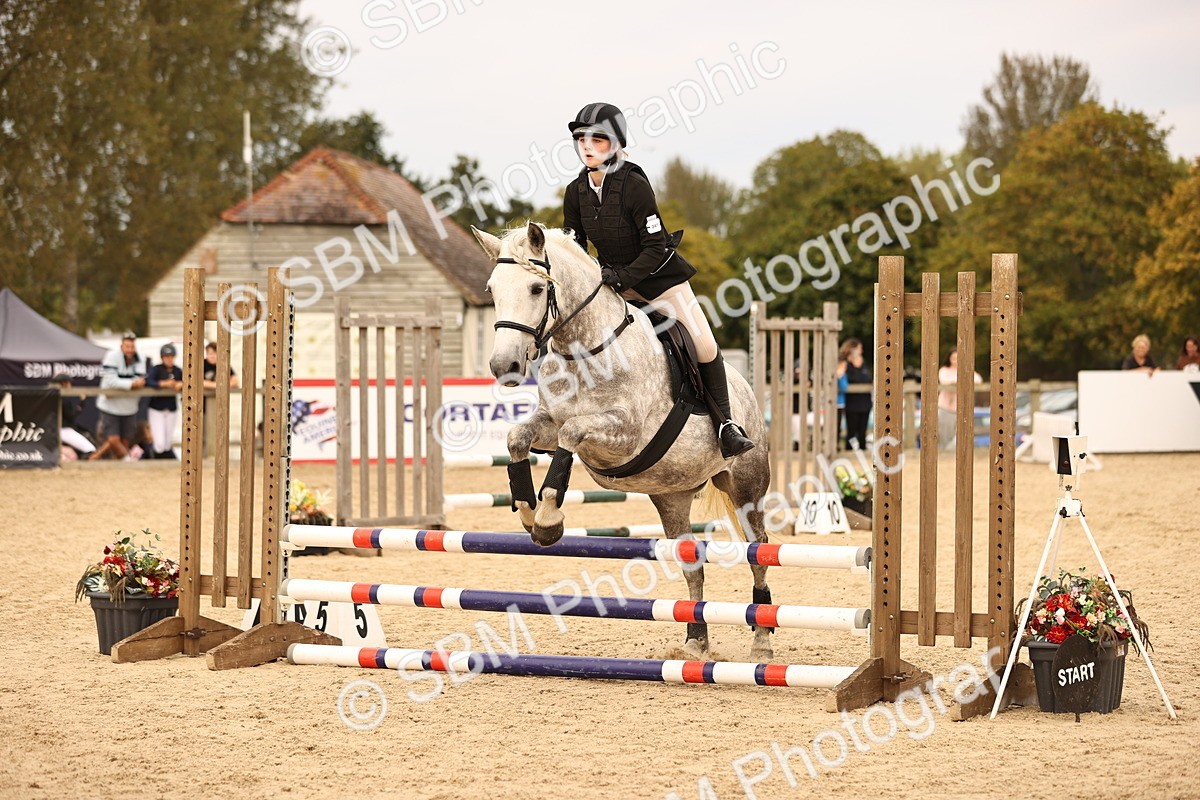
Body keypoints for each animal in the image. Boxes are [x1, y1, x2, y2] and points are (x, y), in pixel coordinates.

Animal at [472, 222, 775, 660]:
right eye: (492, 289)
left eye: (536, 289)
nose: (503, 366)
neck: (584, 351)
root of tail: (747, 389)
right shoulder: (550, 423)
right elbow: (518, 437)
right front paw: (529, 513)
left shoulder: (623, 433)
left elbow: (572, 435)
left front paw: (547, 521)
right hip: (672, 496)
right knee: (691, 562)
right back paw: (695, 642)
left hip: (746, 485)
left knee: (760, 551)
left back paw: (762, 642)